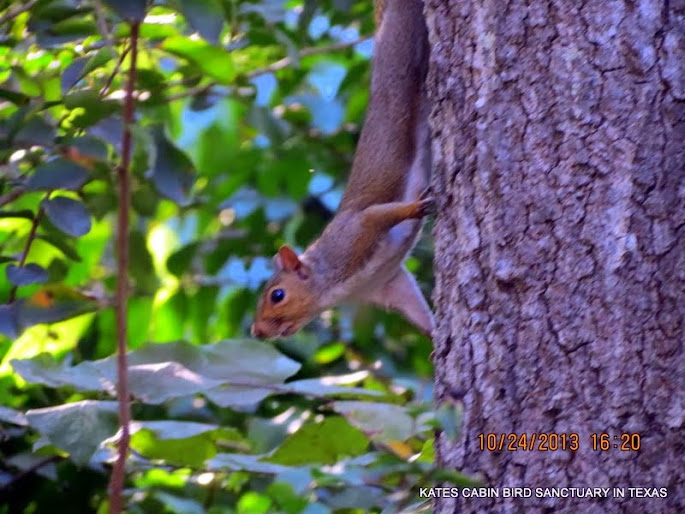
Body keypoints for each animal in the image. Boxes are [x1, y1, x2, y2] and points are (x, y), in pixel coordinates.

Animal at [251, 0, 433, 339]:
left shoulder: (354, 234)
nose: (257, 332)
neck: (332, 289)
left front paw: (416, 207)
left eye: (277, 295)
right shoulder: (387, 284)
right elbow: (416, 308)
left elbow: (379, 215)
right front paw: (438, 338)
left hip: (402, 46)